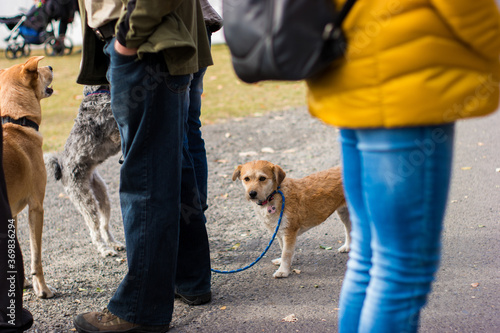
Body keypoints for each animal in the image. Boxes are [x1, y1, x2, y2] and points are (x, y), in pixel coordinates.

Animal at [45, 84, 124, 255]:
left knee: (104, 225)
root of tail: (61, 168)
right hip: (85, 201)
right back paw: (105, 250)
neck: (96, 93)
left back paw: (113, 244)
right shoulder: (116, 132)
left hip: (103, 196)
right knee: (94, 230)